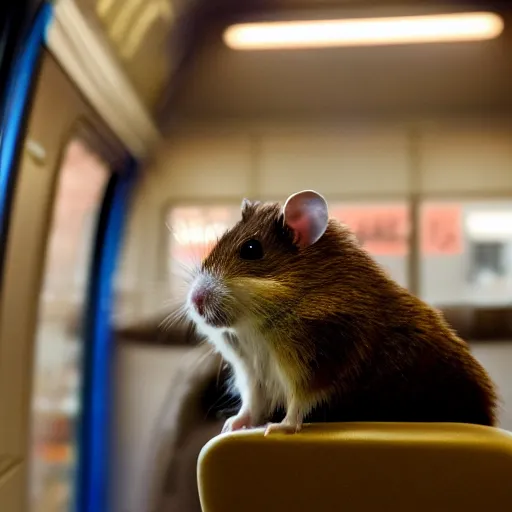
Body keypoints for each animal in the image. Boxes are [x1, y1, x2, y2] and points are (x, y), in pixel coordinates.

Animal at [186, 190, 498, 434]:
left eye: (251, 249)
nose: (195, 301)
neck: (257, 327)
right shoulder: (251, 372)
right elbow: (252, 404)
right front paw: (231, 426)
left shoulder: (316, 361)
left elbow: (297, 405)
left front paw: (278, 428)